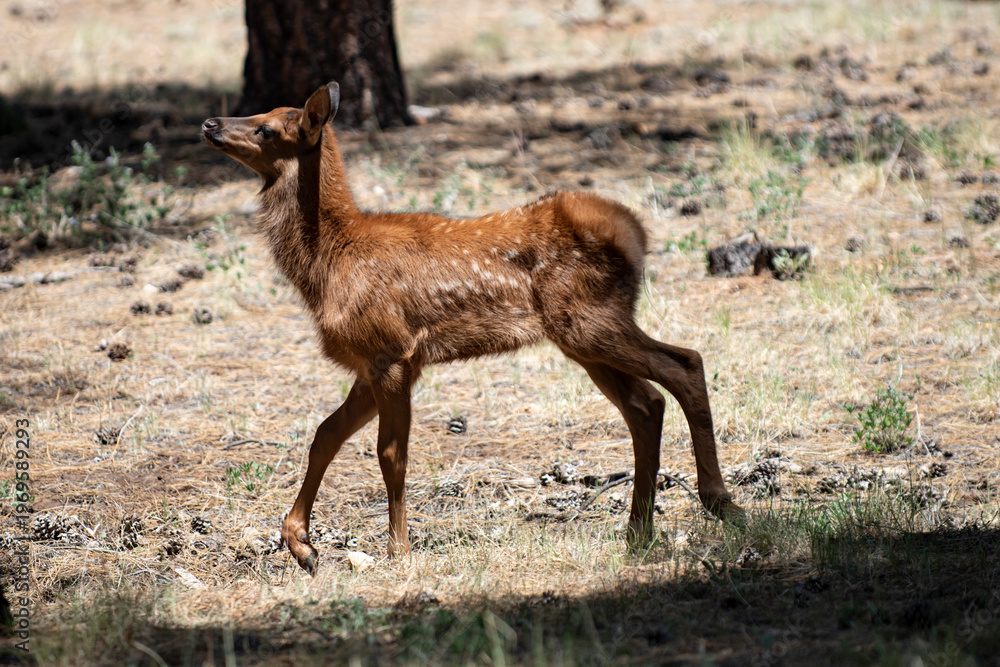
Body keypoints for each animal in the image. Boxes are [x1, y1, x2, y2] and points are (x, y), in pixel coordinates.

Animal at [202, 81, 743, 575]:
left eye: (268, 128)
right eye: (261, 112)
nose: (210, 123)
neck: (329, 262)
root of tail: (636, 235)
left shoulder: (392, 351)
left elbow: (390, 453)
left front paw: (398, 551)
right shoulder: (370, 360)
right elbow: (325, 435)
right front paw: (302, 545)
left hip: (588, 322)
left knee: (685, 363)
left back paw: (717, 501)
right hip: (584, 337)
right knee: (646, 404)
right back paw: (638, 533)